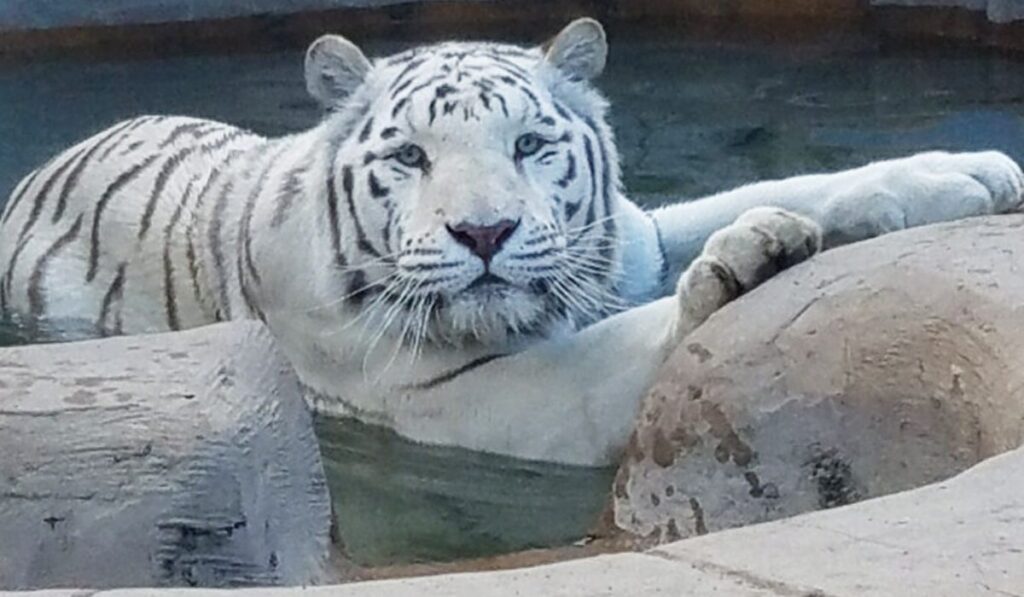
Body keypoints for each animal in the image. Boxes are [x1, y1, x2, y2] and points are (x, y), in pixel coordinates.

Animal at [0, 18, 1021, 466]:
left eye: (528, 143)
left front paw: (973, 173)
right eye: (410, 155)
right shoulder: (458, 398)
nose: (484, 230)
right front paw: (741, 266)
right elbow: (614, 349)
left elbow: (784, 186)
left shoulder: (634, 240)